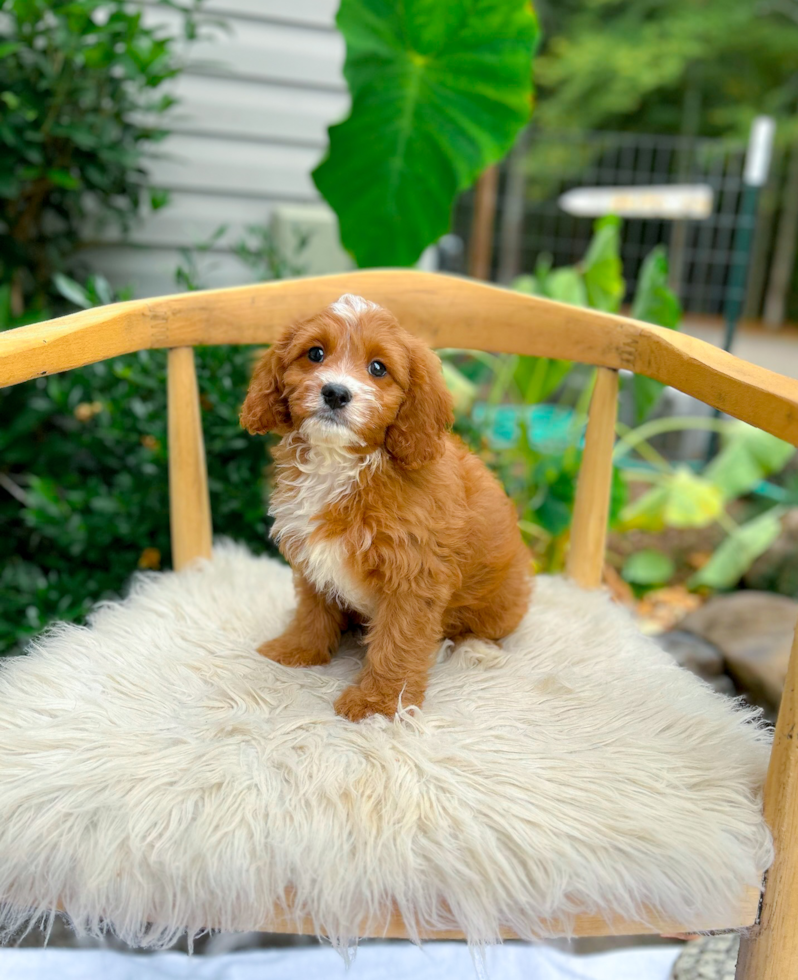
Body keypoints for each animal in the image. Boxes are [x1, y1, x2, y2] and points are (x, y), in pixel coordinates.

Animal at [241, 290, 536, 720]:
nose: (335, 392)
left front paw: (379, 703)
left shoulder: (413, 574)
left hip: (503, 595)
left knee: (491, 629)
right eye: (315, 354)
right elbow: (313, 608)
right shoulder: (313, 557)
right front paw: (298, 649)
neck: (344, 463)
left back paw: (477, 650)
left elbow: (398, 641)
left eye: (378, 368)